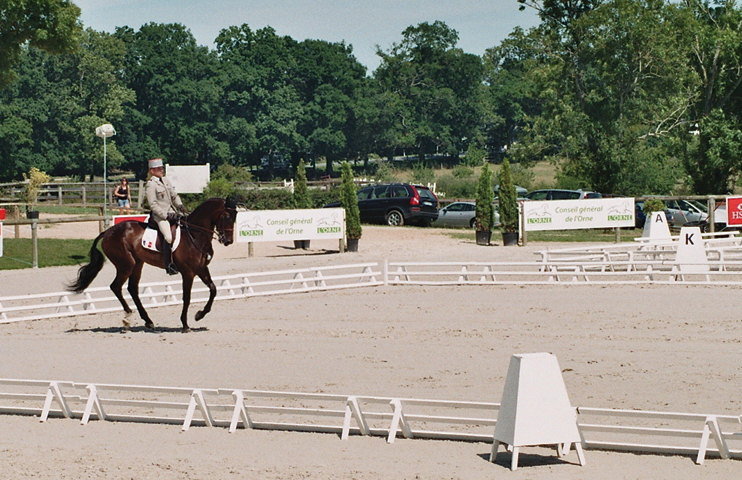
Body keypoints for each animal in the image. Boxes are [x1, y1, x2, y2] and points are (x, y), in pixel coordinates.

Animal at [68, 197, 238, 332]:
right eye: (226, 216)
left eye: (235, 216)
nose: (228, 241)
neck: (195, 235)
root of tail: (108, 232)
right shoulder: (188, 272)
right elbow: (187, 297)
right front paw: (185, 325)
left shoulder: (201, 268)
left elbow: (213, 290)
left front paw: (199, 315)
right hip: (126, 265)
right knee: (116, 286)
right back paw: (128, 315)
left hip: (137, 264)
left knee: (132, 289)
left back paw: (148, 321)